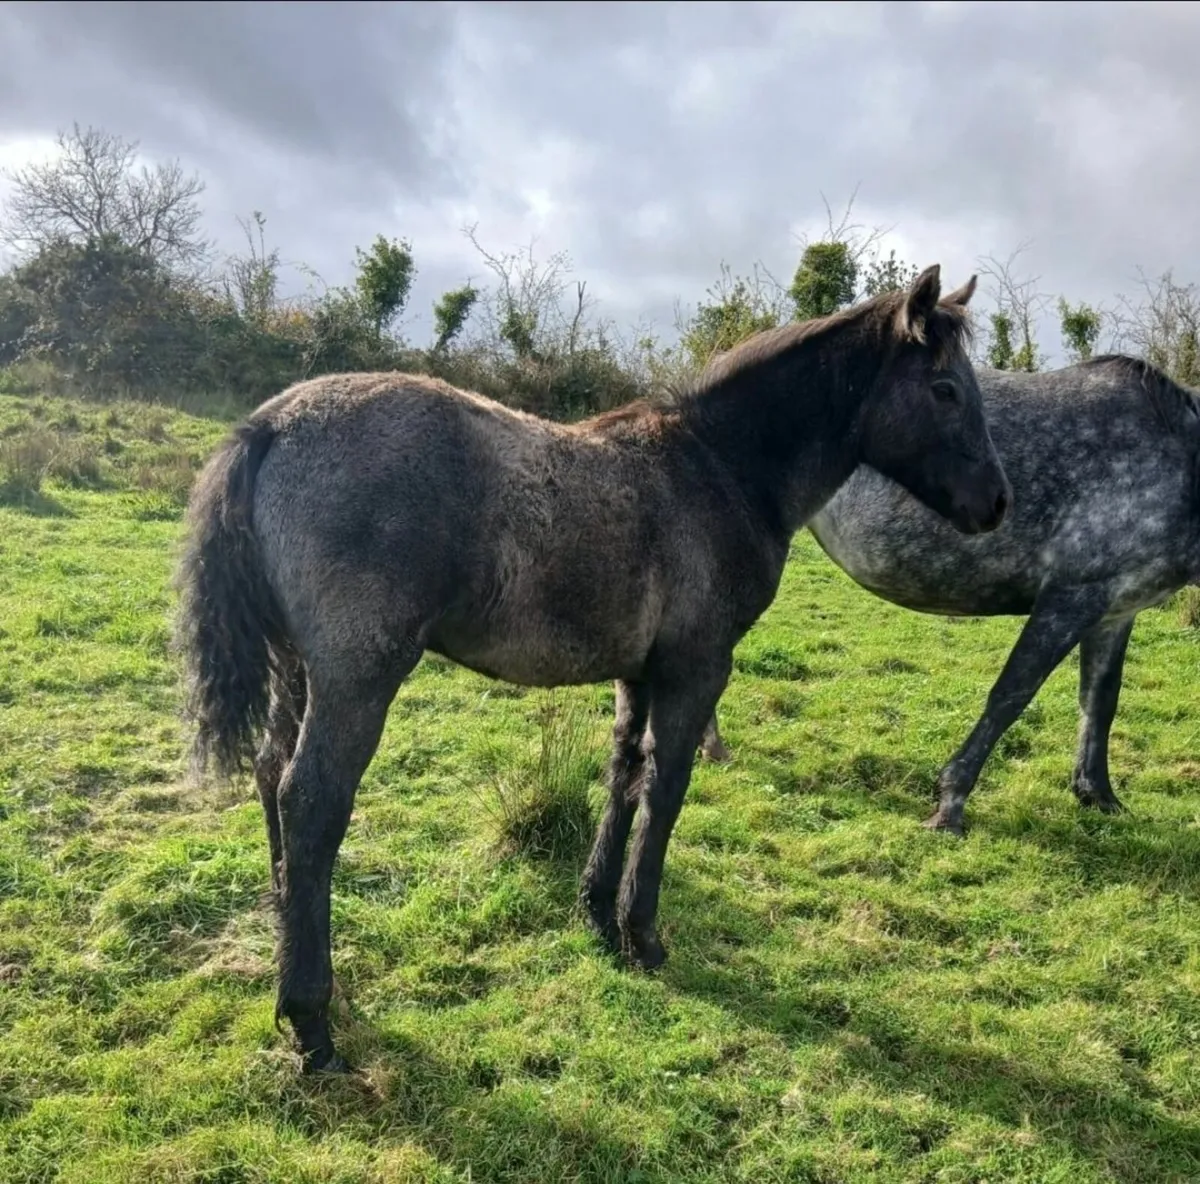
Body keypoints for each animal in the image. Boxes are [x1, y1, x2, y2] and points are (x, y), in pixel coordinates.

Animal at [175, 264, 1009, 1073]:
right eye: (946, 389)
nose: (997, 503)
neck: (721, 469)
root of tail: (272, 423)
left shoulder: (636, 672)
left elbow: (624, 777)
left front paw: (597, 916)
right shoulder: (697, 668)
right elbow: (667, 790)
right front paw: (644, 935)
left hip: (296, 665)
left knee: (269, 774)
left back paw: (286, 930)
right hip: (358, 673)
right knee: (312, 799)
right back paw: (311, 1021)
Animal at [700, 355, 1200, 834]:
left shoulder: (1114, 609)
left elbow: (1100, 700)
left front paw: (1097, 795)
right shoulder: (1068, 599)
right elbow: (1010, 696)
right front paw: (949, 806)